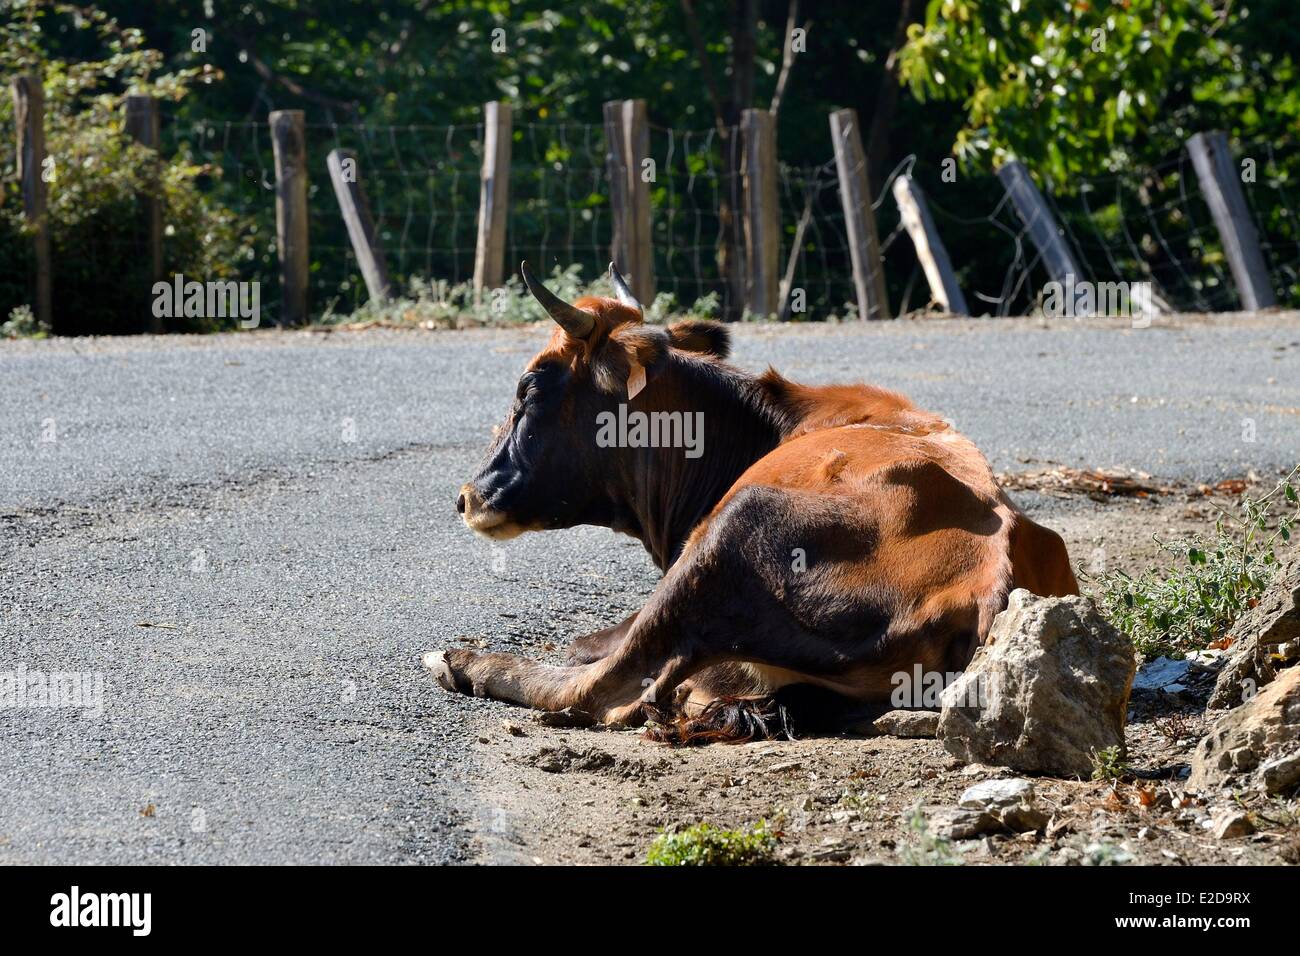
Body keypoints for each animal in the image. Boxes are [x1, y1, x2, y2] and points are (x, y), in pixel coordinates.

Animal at [426, 265, 1076, 743]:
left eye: (530, 387)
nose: (466, 497)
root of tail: (998, 569)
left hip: (731, 536)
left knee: (605, 691)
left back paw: (462, 661)